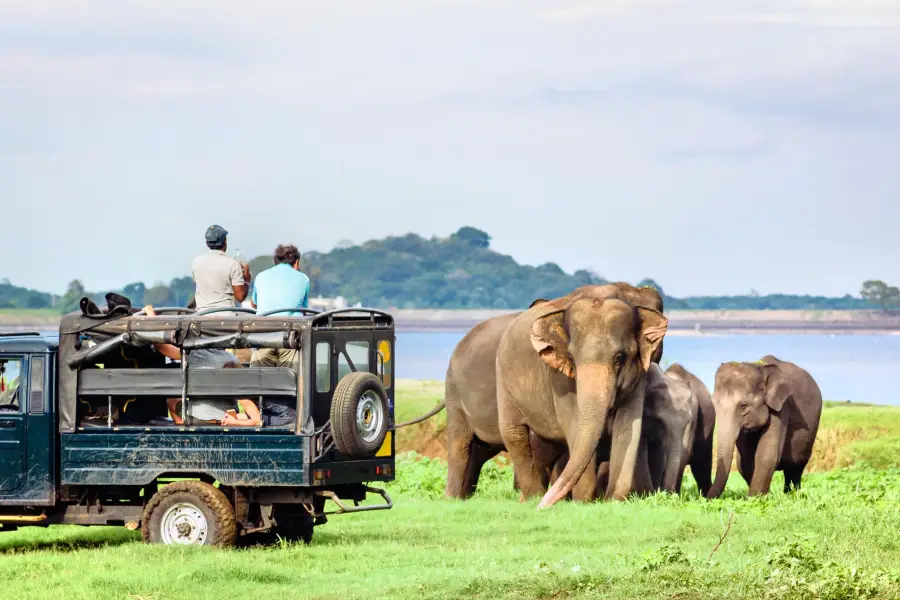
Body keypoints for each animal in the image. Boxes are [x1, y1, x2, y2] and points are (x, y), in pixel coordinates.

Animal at [496, 292, 672, 508]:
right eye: (571, 357)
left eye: (619, 357)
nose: (542, 508)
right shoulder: (559, 379)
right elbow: (574, 424)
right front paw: (583, 502)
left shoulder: (638, 375)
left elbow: (629, 425)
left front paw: (612, 500)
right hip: (504, 384)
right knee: (514, 434)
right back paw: (532, 498)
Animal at [708, 356, 828, 496]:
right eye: (713, 404)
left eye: (743, 406)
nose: (705, 498)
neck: (759, 367)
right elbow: (745, 460)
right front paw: (765, 496)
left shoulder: (782, 406)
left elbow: (766, 454)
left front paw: (755, 498)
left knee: (795, 468)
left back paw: (793, 494)